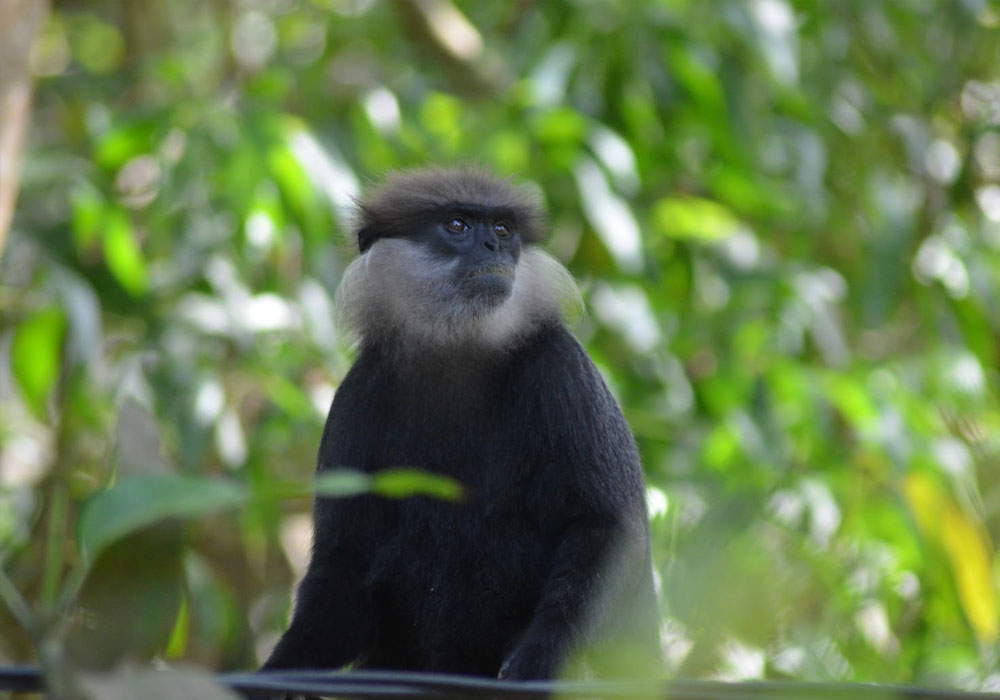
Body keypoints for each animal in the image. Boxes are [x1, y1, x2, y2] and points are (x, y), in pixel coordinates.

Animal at [262, 166, 662, 681]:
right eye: (457, 225)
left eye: (502, 230)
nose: (492, 247)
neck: (459, 350)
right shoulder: (357, 395)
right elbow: (343, 568)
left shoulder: (560, 367)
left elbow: (606, 528)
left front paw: (537, 658)